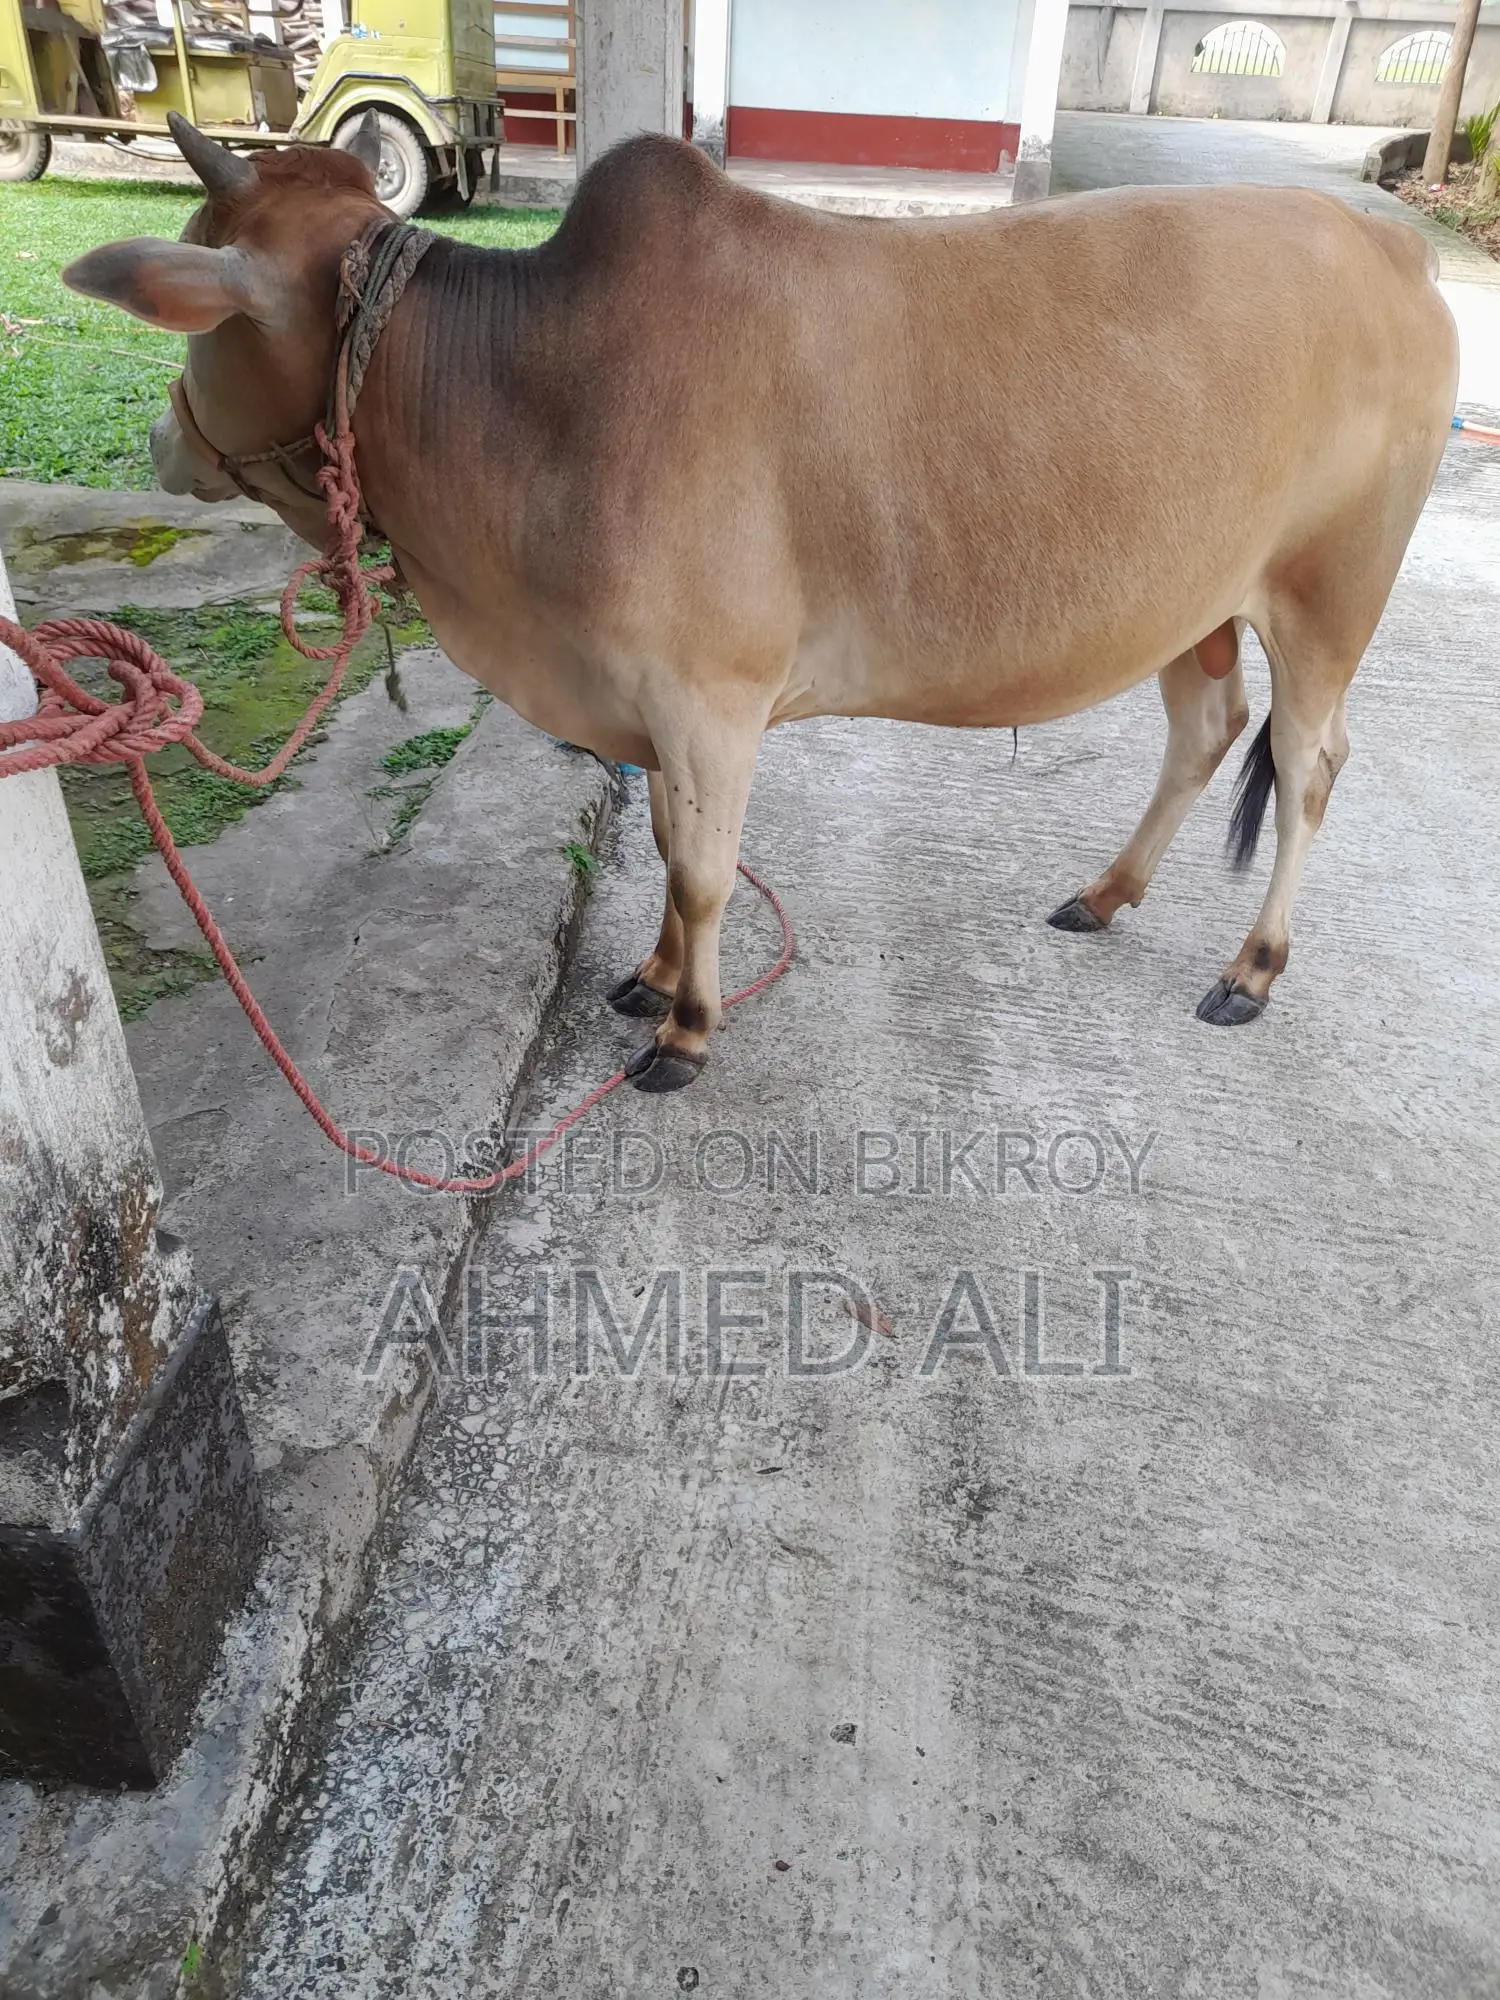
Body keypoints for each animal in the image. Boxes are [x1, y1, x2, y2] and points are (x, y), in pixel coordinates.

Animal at [61, 114, 1459, 1091]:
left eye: (198, 318)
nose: (158, 439)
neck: (517, 386)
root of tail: (1394, 244)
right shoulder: (653, 714)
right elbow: (668, 857)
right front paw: (647, 976)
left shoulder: (707, 701)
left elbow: (701, 870)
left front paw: (688, 1028)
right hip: (1198, 600)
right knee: (1207, 729)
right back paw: (1106, 894)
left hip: (1329, 595)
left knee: (1310, 762)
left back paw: (1252, 969)